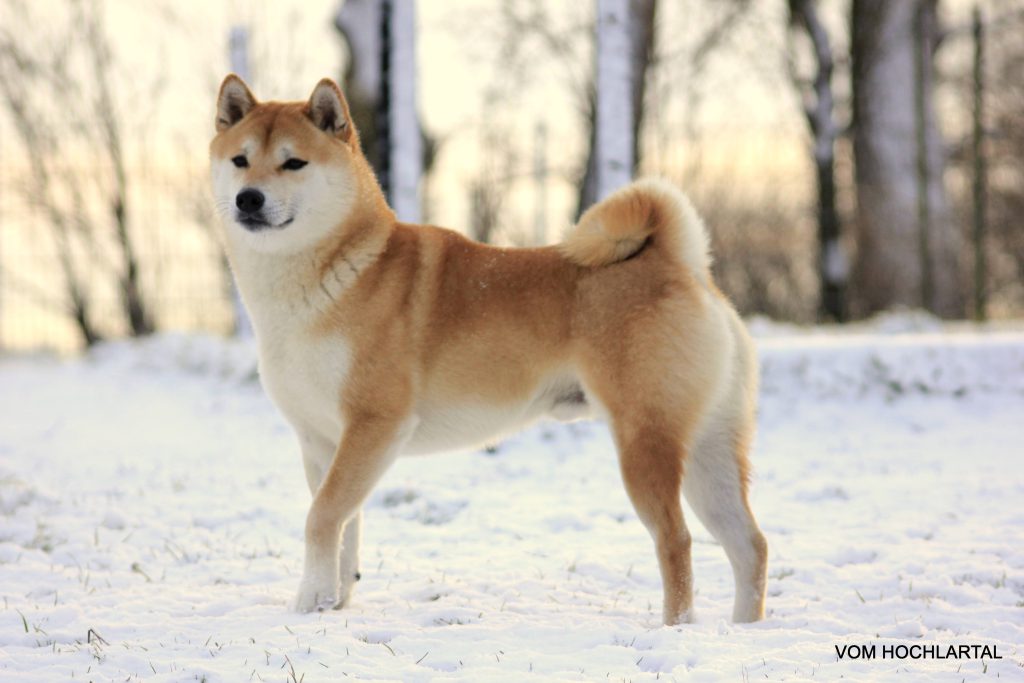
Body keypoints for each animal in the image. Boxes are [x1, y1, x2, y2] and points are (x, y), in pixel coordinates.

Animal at [209, 74, 770, 626]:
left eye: (293, 163)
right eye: (240, 160)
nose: (249, 199)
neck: (333, 274)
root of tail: (680, 264)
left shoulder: (375, 424)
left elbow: (321, 516)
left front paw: (307, 604)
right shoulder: (322, 441)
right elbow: (345, 526)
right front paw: (332, 602)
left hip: (645, 443)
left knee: (677, 541)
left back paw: (676, 629)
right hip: (708, 450)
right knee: (750, 545)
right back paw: (743, 628)